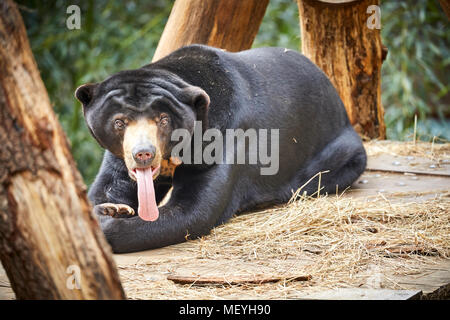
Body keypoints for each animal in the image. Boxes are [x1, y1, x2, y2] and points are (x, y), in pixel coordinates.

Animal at [75, 45, 368, 254]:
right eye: (119, 122)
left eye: (163, 119)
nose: (143, 154)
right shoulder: (119, 155)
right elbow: (108, 186)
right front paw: (112, 207)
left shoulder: (222, 140)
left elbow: (194, 210)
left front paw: (107, 220)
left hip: (341, 150)